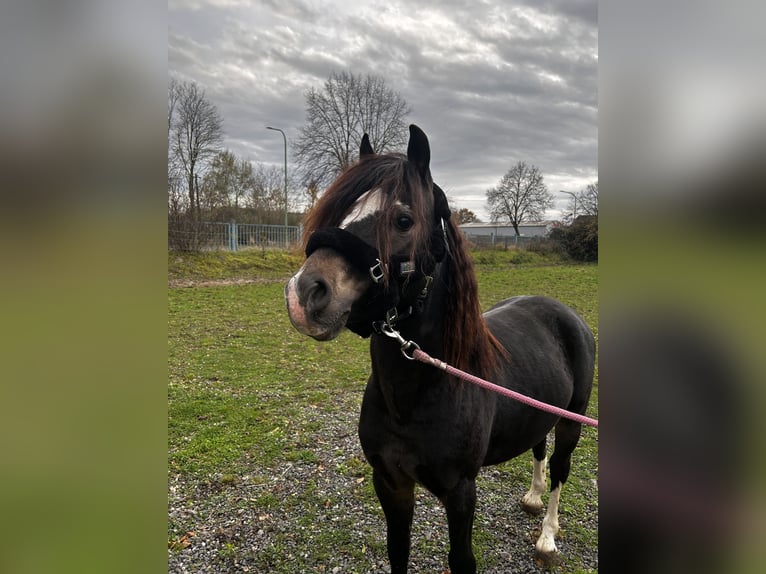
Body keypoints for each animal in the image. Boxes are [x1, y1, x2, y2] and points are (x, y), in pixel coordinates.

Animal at [284, 126, 596, 574]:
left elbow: (461, 559)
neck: (419, 393)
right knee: (539, 447)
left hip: (573, 422)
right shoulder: (391, 482)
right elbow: (398, 549)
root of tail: (563, 312)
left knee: (559, 469)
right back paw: (533, 498)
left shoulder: (461, 492)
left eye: (403, 219)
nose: (303, 294)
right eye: (342, 209)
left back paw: (547, 536)